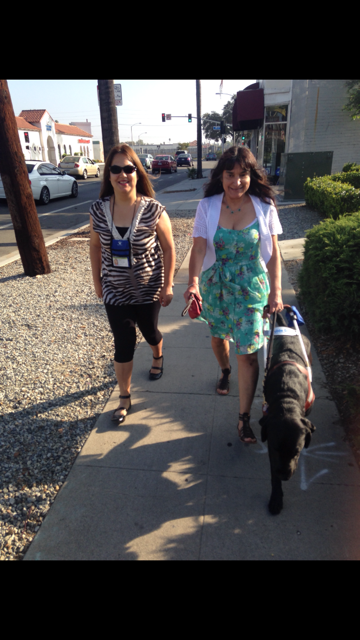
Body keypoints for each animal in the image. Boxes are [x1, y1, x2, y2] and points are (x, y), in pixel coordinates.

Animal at [258, 310, 316, 516]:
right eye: (276, 449)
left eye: (297, 451)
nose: (284, 475)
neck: (287, 397)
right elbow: (273, 474)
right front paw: (276, 498)